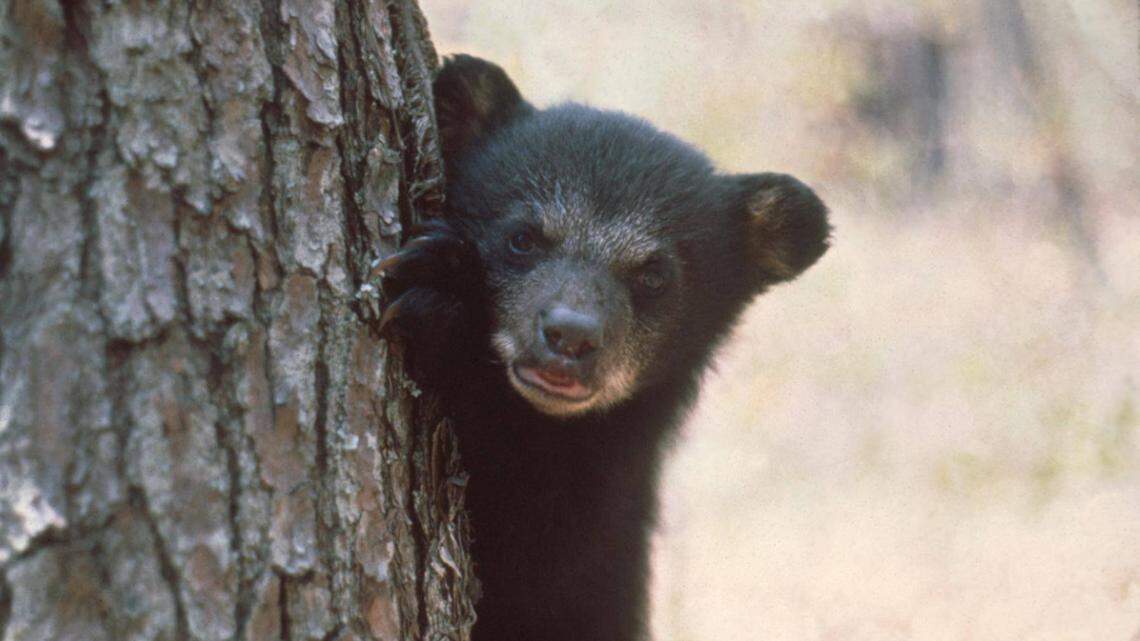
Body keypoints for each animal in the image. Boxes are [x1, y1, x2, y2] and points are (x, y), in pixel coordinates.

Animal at [378, 54, 830, 641]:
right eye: (522, 238)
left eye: (654, 276)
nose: (570, 335)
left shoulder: (601, 524)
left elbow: (535, 552)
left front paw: (442, 300)